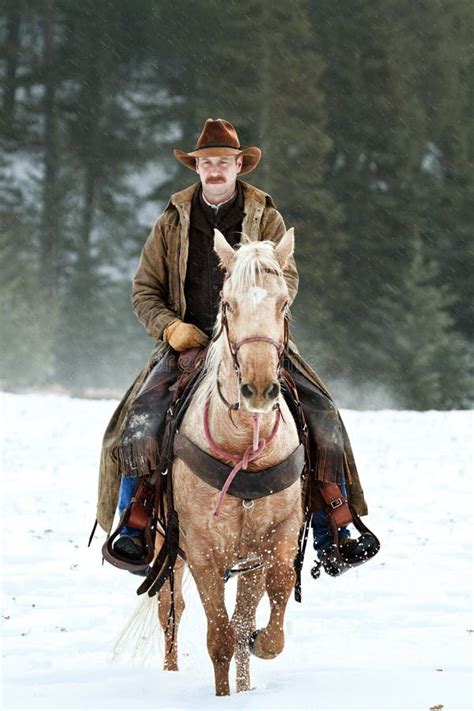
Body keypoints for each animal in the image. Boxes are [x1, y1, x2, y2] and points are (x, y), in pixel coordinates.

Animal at [156, 231, 304, 700]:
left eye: (283, 303)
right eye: (228, 303)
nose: (258, 389)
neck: (243, 448)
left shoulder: (276, 537)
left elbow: (269, 598)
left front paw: (263, 644)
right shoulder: (202, 550)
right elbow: (219, 635)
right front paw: (223, 697)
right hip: (168, 547)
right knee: (171, 607)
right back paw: (169, 672)